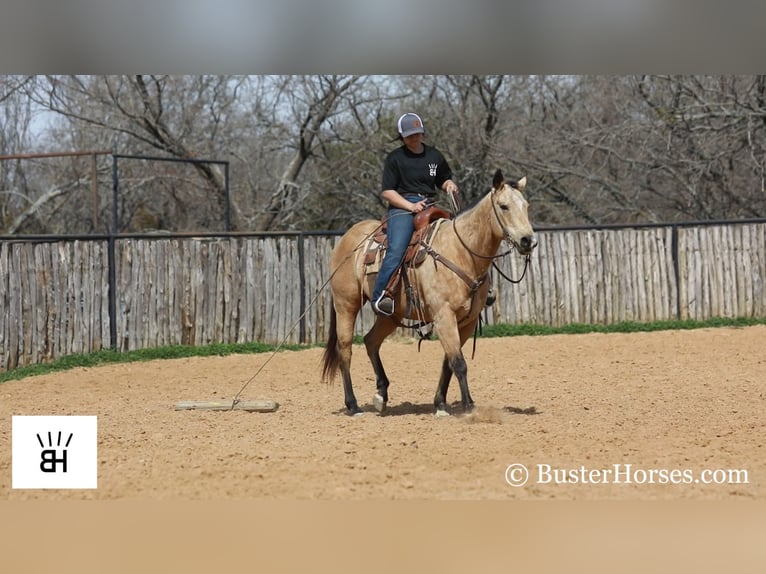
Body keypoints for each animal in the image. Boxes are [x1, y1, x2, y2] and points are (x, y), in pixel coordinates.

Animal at [320, 171, 536, 418]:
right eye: (503, 206)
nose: (528, 241)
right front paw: (469, 407)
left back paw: (381, 395)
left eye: (526, 206)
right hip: (346, 304)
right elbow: (459, 363)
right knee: (345, 349)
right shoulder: (444, 316)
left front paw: (441, 404)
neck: (461, 251)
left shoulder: (467, 321)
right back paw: (353, 405)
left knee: (371, 341)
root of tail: (347, 238)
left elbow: (449, 362)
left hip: (390, 315)